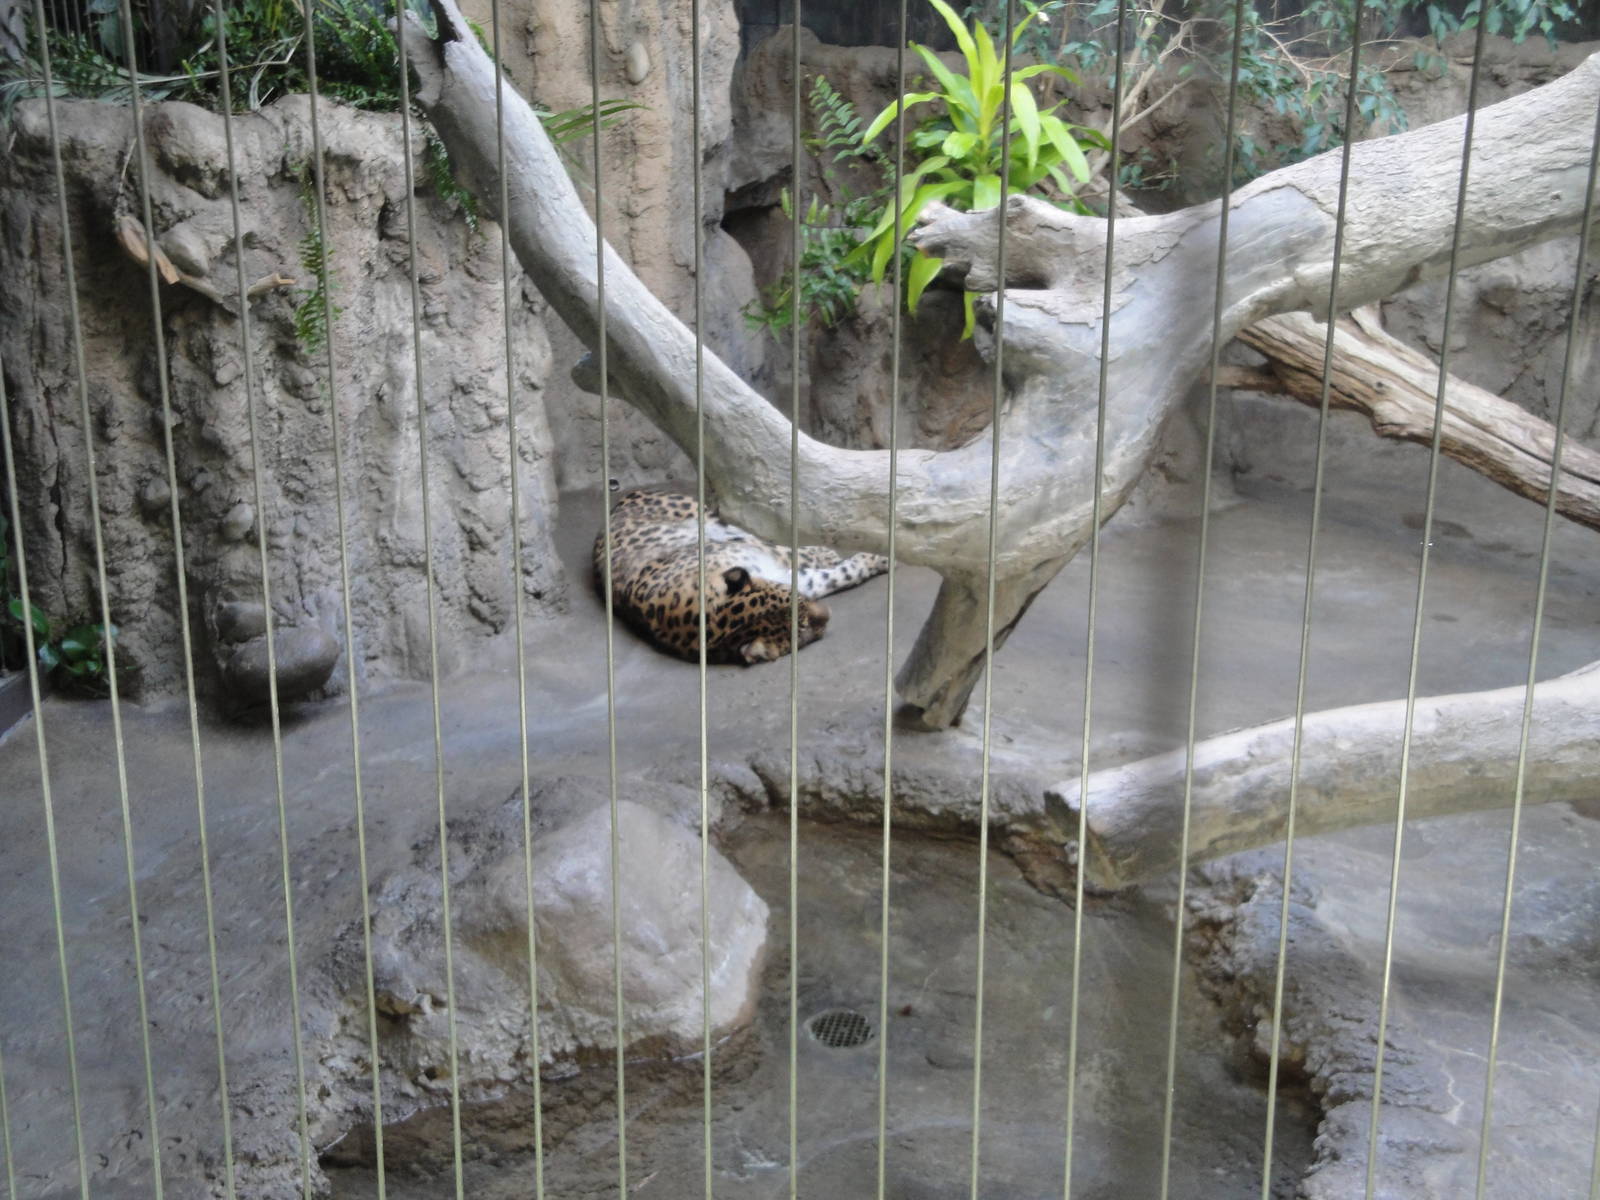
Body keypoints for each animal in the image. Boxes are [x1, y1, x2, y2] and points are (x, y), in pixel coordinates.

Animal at [594, 484, 889, 664]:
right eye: (802, 627)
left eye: (797, 599)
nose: (828, 613)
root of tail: (621, 499)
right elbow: (833, 575)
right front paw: (875, 559)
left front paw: (876, 556)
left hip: (710, 516)